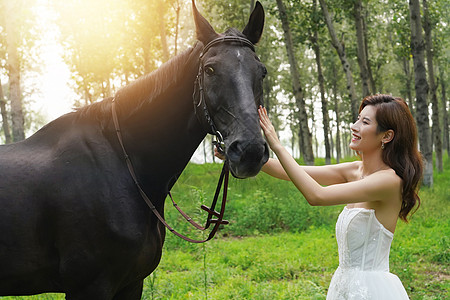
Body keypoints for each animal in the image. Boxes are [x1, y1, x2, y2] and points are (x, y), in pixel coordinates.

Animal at [0, 1, 268, 298]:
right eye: (210, 70)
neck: (122, 165)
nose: (249, 151)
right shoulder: (89, 286)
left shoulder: (132, 282)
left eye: (262, 72)